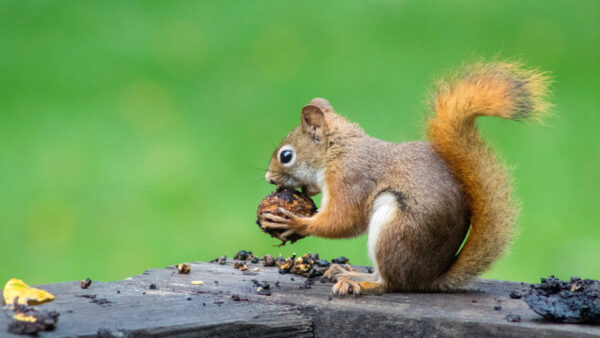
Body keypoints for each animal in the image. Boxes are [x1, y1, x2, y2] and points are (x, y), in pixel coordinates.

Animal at [260, 62, 552, 294]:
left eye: (286, 156)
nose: (268, 178)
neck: (337, 151)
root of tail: (427, 279)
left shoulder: (351, 179)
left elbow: (344, 220)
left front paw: (295, 222)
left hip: (393, 228)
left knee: (390, 283)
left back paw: (359, 283)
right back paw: (346, 272)